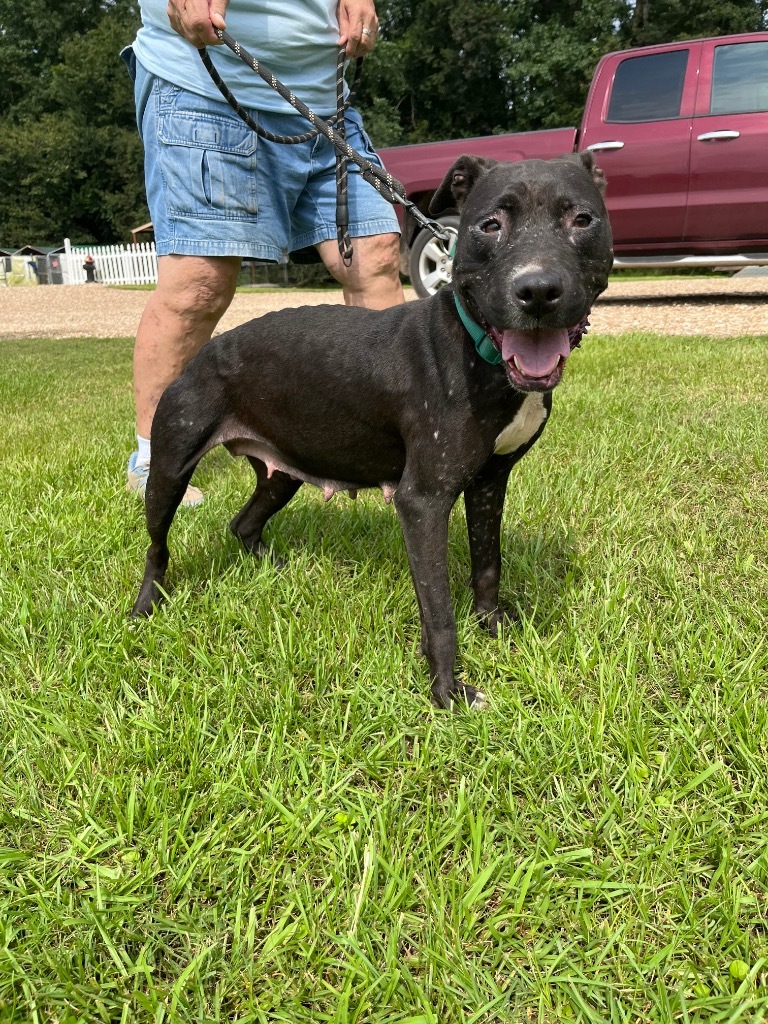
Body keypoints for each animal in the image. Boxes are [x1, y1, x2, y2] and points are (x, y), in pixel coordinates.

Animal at [131, 151, 614, 708]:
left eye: (582, 219)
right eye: (490, 225)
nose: (536, 290)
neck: (479, 350)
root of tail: (205, 352)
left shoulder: (490, 482)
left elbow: (488, 563)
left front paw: (494, 629)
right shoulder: (423, 502)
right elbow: (438, 610)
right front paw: (448, 691)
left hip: (282, 472)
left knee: (244, 523)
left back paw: (275, 570)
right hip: (169, 470)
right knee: (157, 547)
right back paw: (144, 607)